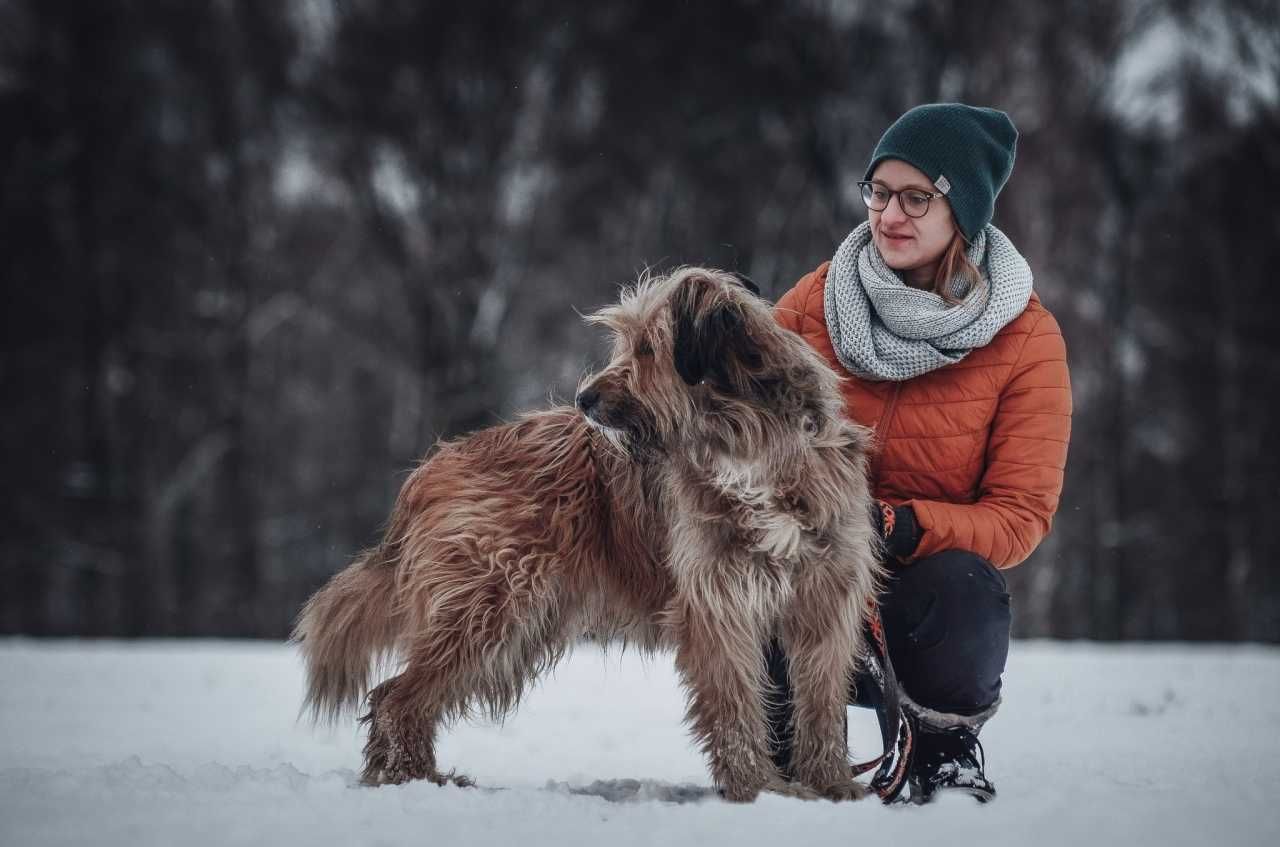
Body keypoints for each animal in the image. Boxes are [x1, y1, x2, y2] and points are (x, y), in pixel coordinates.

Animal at [294, 267, 885, 803]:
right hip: (493, 606)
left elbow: (821, 701)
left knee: (396, 696)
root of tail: (431, 468)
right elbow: (736, 703)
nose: (584, 399)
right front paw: (757, 790)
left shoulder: (825, 596)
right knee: (398, 698)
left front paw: (831, 784)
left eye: (646, 348)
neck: (749, 445)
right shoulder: (719, 599)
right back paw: (414, 781)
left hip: (514, 618)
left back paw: (404, 776)